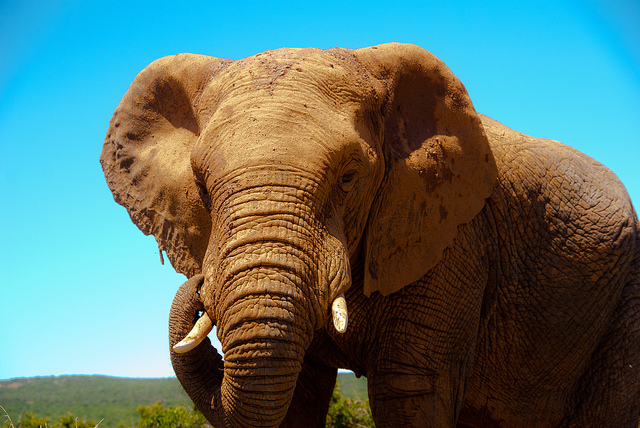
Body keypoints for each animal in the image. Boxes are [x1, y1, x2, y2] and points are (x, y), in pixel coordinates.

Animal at [100, 43, 640, 427]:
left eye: (348, 177)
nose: (196, 286)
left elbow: (410, 390)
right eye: (201, 185)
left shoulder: (456, 241)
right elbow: (295, 399)